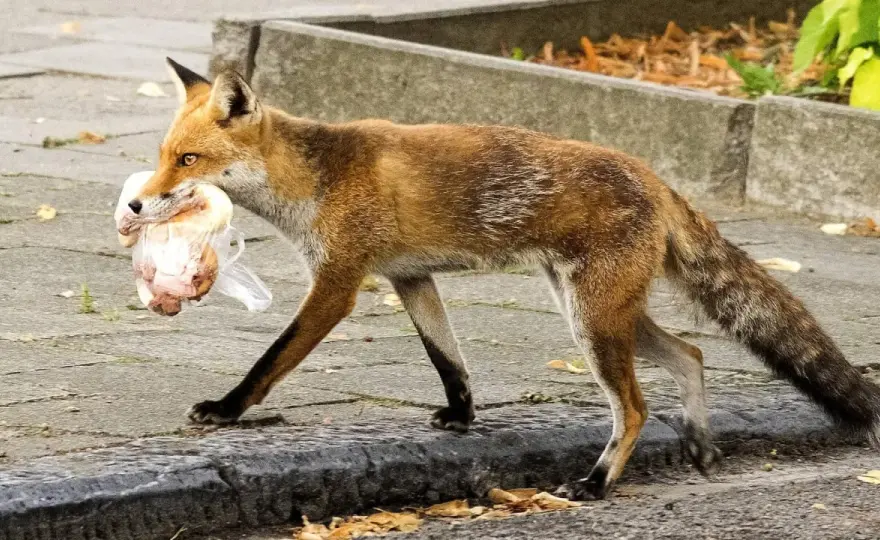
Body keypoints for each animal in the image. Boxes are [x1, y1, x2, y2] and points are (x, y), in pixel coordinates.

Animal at [124, 57, 880, 500]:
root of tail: (652, 175)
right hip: (602, 313)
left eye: (188, 160)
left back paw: (598, 482)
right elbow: (449, 361)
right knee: (691, 354)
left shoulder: (338, 283)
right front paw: (462, 417)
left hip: (593, 322)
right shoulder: (411, 280)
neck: (315, 179)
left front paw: (227, 410)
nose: (134, 206)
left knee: (634, 406)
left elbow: (271, 361)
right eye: (163, 156)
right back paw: (697, 443)